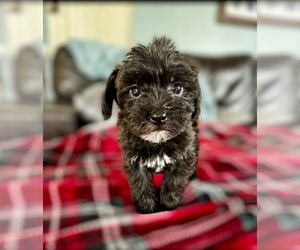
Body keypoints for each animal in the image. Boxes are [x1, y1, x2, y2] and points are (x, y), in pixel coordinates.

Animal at [102, 36, 200, 213]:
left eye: (177, 88)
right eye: (135, 91)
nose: (159, 117)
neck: (157, 143)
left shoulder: (184, 155)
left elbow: (174, 181)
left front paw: (167, 205)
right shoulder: (134, 161)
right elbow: (141, 185)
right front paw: (147, 208)